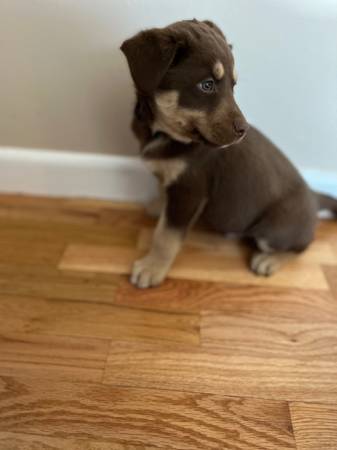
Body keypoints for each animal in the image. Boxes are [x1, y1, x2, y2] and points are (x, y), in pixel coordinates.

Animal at [121, 18, 336, 288]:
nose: (244, 130)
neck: (164, 133)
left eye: (233, 86)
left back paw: (270, 260)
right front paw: (159, 206)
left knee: (302, 245)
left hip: (273, 230)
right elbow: (163, 192)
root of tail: (314, 197)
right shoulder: (175, 183)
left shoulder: (190, 190)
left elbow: (166, 236)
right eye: (207, 85)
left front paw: (152, 268)